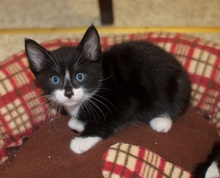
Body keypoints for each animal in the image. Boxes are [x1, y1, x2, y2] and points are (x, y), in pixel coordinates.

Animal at [24, 24, 192, 155]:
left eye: (80, 76)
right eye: (55, 79)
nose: (69, 93)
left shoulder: (127, 100)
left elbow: (106, 120)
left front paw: (82, 140)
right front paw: (79, 121)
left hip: (176, 86)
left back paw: (162, 119)